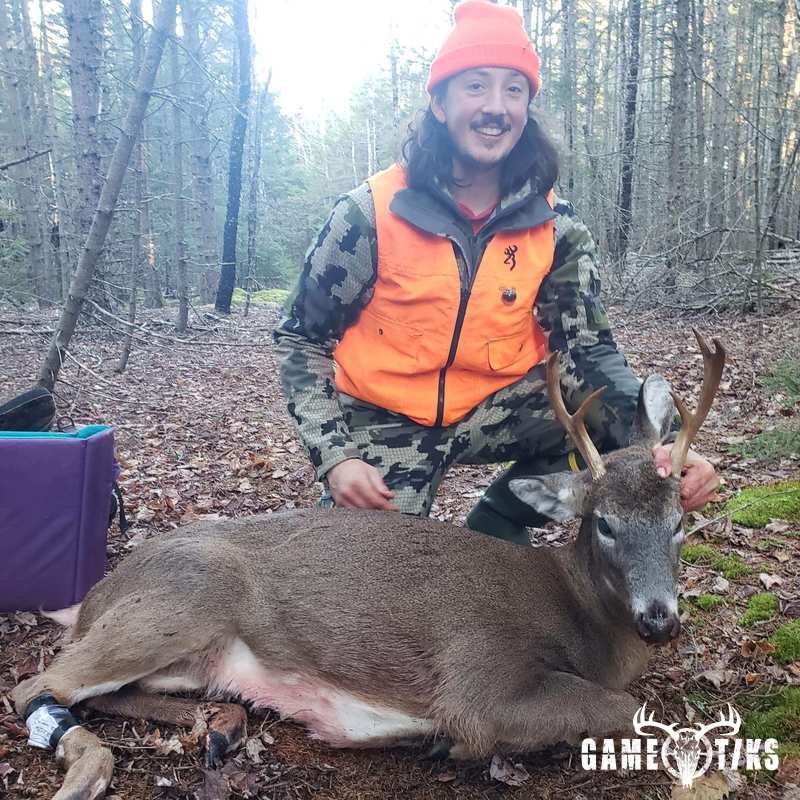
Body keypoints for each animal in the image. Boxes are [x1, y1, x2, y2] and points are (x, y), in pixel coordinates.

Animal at [12, 331, 725, 800]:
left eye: (679, 521)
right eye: (604, 523)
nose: (659, 619)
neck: (578, 622)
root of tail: (97, 596)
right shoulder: (479, 682)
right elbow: (624, 707)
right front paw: (448, 743)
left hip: (189, 655)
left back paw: (220, 725)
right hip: (182, 601)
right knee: (37, 687)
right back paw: (89, 772)